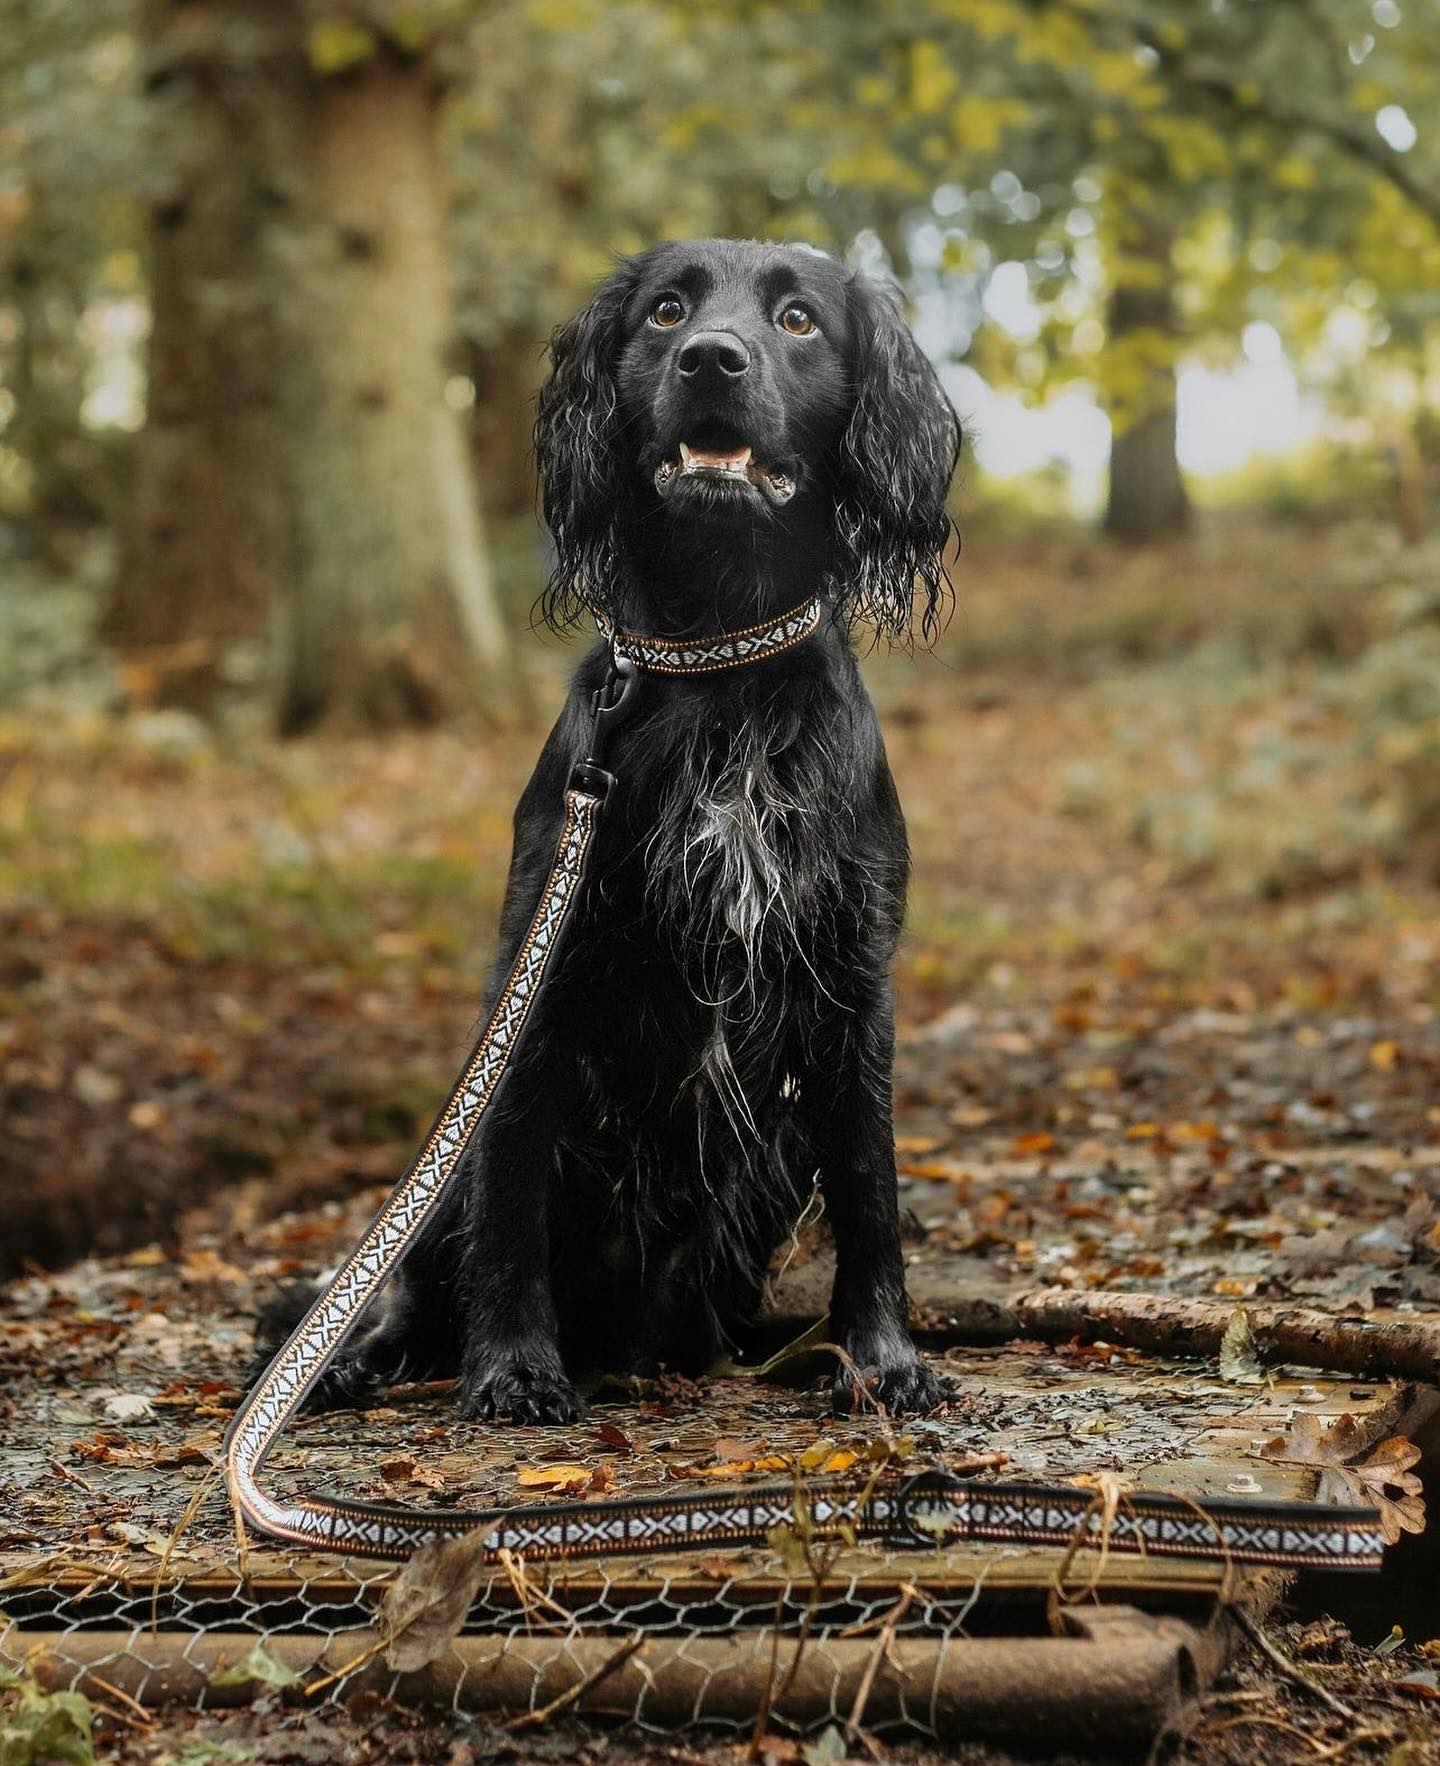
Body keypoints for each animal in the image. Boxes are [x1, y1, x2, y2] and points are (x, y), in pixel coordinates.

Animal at [270, 238, 968, 1419]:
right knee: (417, 1275)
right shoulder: (537, 970)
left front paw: (881, 1358)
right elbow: (510, 1197)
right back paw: (363, 1358)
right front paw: (513, 1368)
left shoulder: (851, 969)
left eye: (797, 319)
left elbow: (871, 1186)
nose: (711, 357)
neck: (719, 666)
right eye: (666, 312)